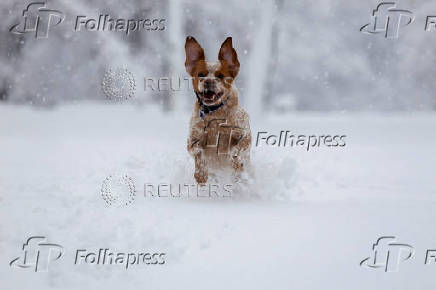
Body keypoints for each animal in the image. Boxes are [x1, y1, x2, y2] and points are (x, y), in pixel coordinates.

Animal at [184, 36, 252, 184]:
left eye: (220, 76)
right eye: (201, 74)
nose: (208, 81)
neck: (215, 115)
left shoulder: (245, 134)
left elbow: (237, 149)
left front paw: (236, 162)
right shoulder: (192, 141)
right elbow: (199, 152)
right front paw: (201, 174)